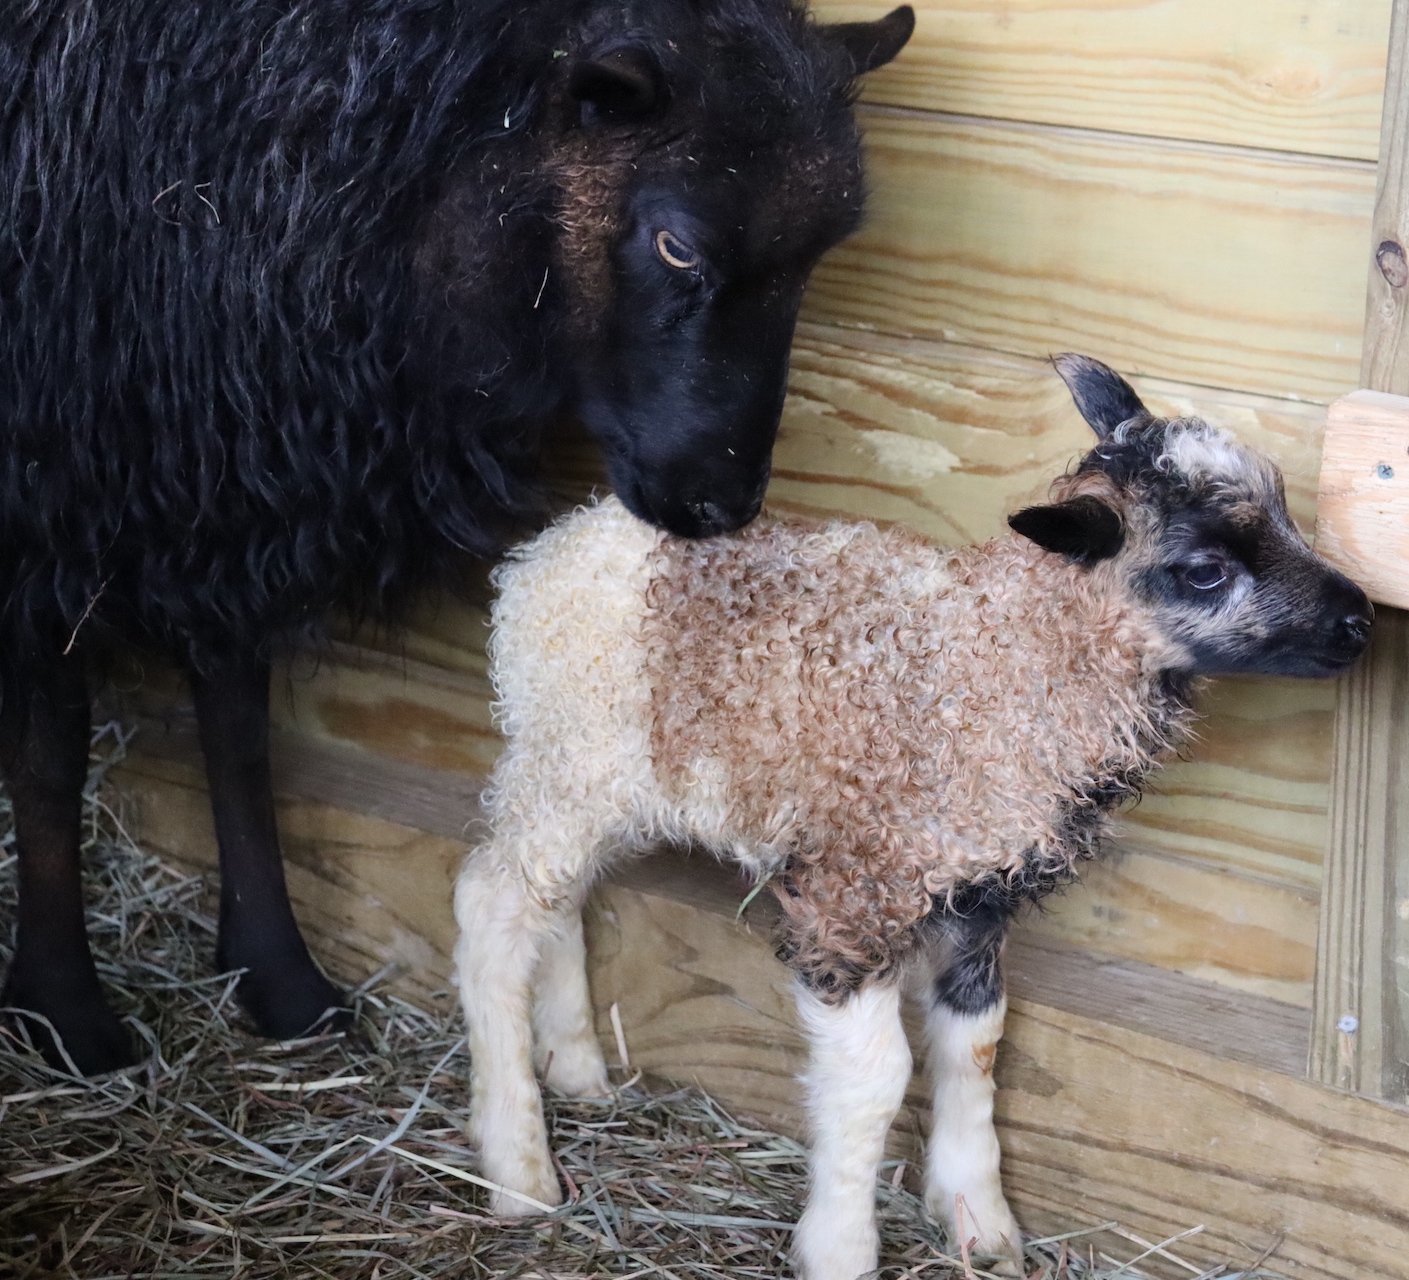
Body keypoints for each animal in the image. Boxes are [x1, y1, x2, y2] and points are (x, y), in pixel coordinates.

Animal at [0, 0, 913, 1073]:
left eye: (814, 260)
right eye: (677, 245)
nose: (719, 505)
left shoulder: (227, 482)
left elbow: (238, 736)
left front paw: (280, 979)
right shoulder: (48, 500)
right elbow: (51, 762)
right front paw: (64, 1012)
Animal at [453, 355, 1372, 1280]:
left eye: (1286, 509)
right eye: (1203, 570)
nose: (1361, 621)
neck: (1000, 662)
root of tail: (555, 548)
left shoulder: (978, 896)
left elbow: (977, 1045)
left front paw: (980, 1221)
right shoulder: (852, 895)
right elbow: (876, 1078)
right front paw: (840, 1248)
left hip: (597, 784)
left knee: (556, 902)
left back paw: (574, 1068)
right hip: (572, 756)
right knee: (491, 904)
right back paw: (519, 1169)